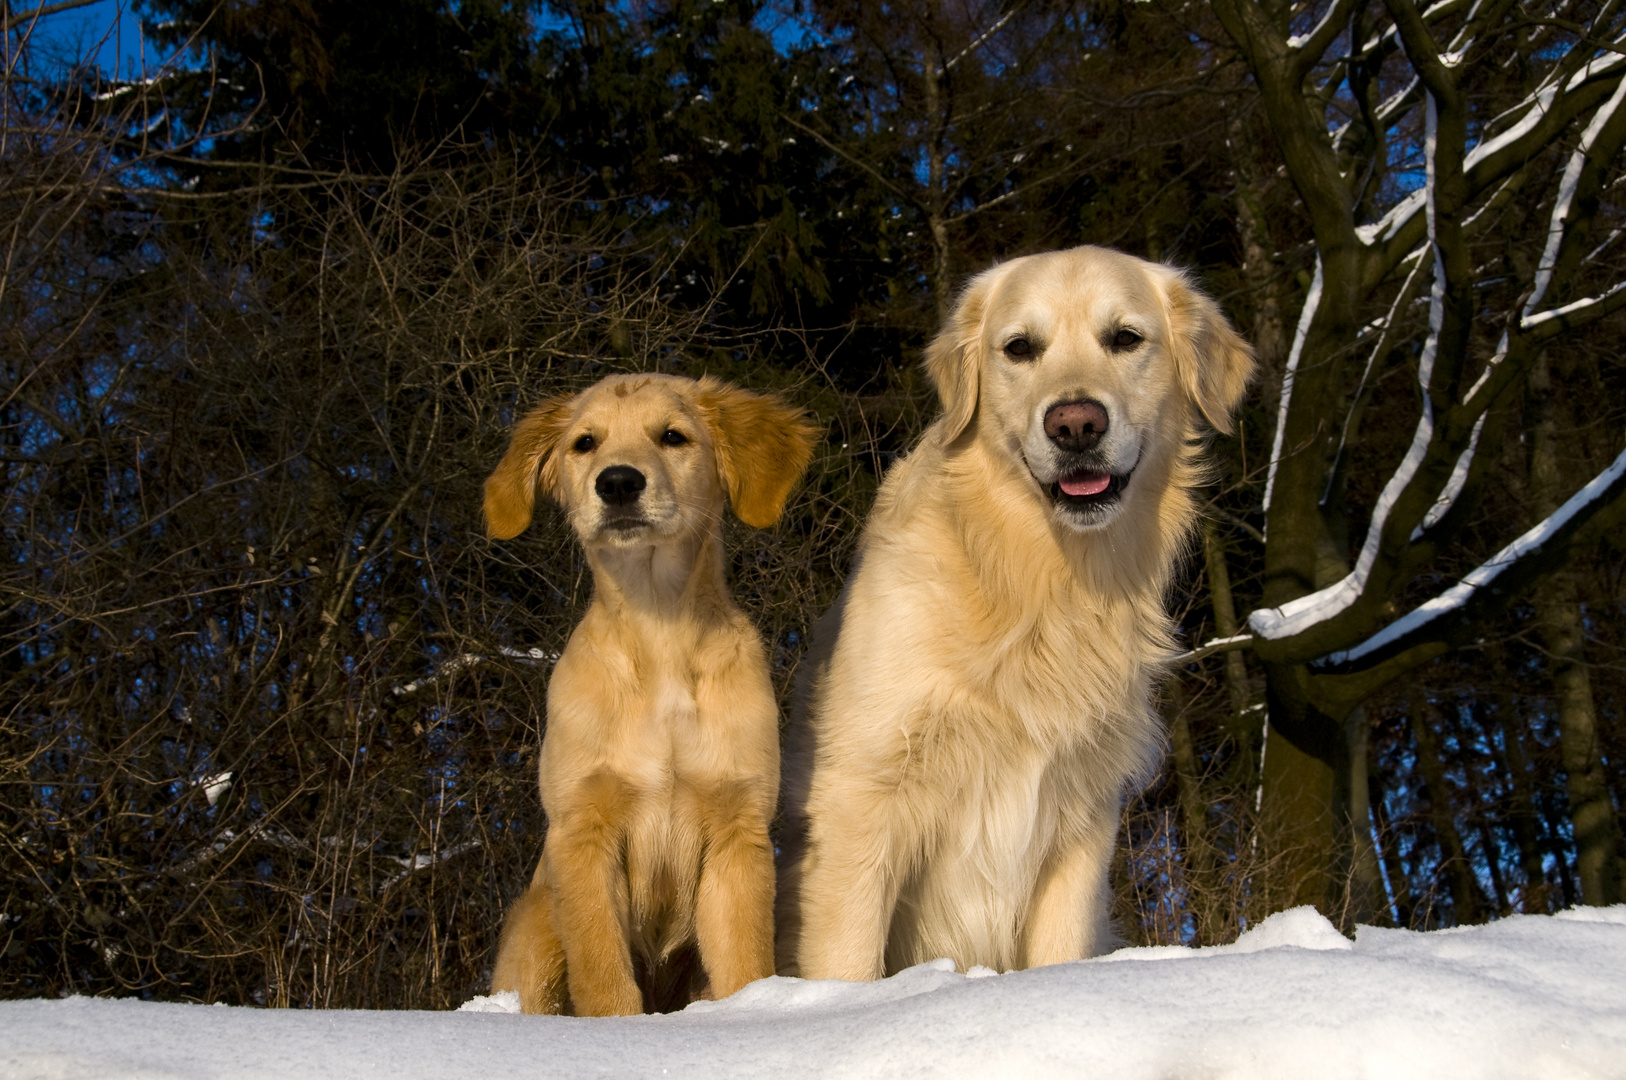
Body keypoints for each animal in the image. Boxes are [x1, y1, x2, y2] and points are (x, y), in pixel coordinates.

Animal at [478, 370, 813, 1014]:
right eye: (585, 443)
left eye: (673, 436)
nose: (617, 482)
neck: (659, 628)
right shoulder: (583, 830)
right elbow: (603, 975)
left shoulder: (737, 828)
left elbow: (744, 962)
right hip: (536, 921)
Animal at [773, 242, 1255, 975]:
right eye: (1019, 348)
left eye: (1126, 338)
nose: (1076, 424)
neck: (1035, 581)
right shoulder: (860, 796)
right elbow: (846, 960)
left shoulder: (1081, 817)